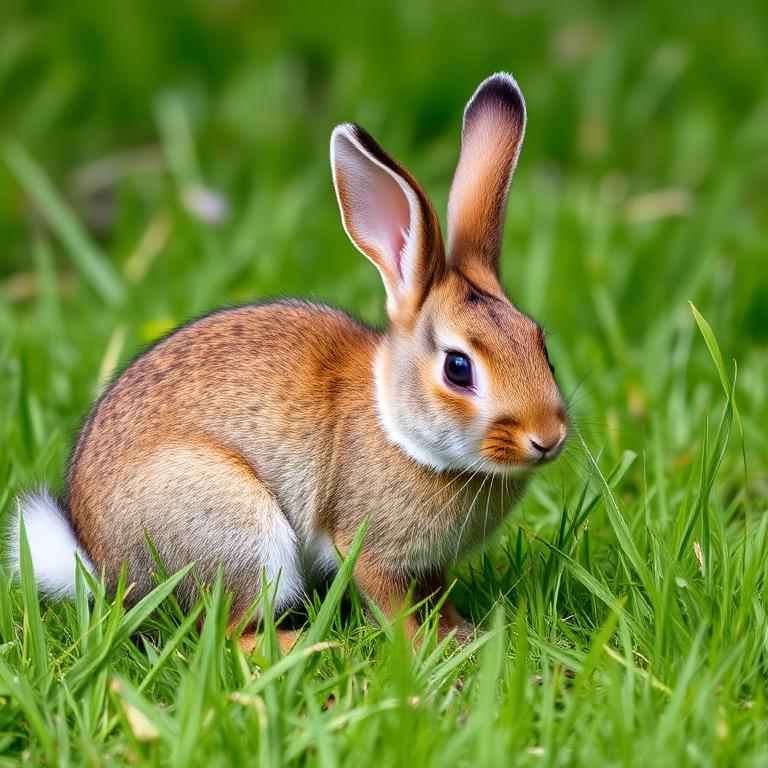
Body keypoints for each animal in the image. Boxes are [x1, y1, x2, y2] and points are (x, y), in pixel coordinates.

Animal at [11, 73, 568, 650]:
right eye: (458, 368)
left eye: (540, 345)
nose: (547, 439)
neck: (398, 427)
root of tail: (102, 567)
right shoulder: (365, 547)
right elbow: (391, 603)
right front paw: (422, 647)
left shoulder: (428, 566)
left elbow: (438, 595)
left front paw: (462, 633)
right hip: (233, 526)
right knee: (226, 630)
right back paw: (305, 643)